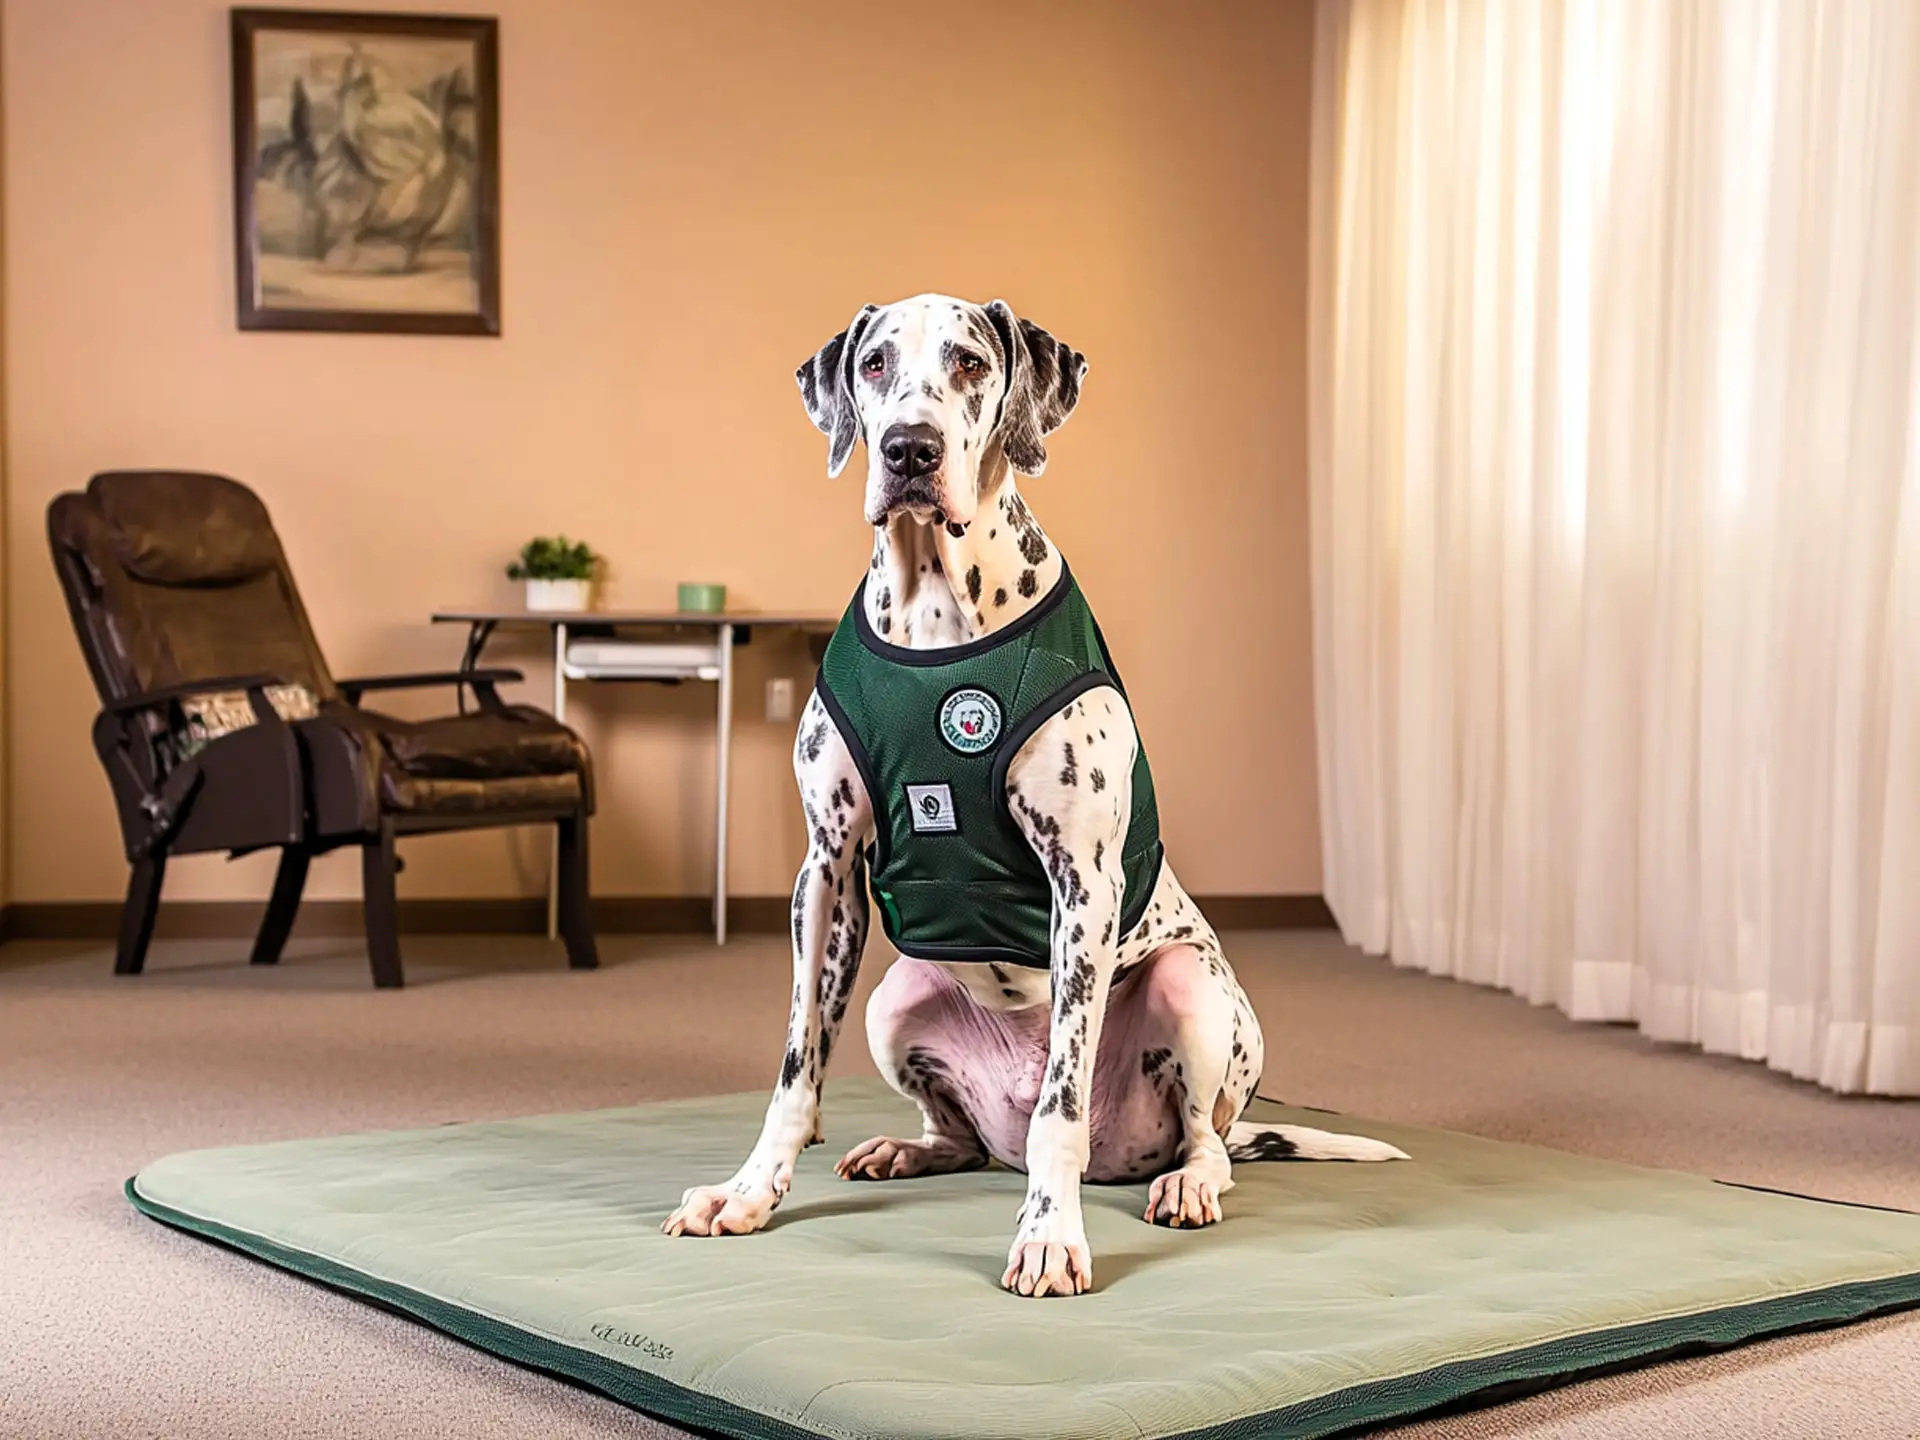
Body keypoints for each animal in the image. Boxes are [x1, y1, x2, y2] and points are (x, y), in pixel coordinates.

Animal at [660, 295, 1397, 1305]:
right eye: (875, 363)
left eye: (970, 362)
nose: (910, 450)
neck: (934, 605)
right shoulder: (826, 873)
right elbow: (795, 1073)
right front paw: (748, 1191)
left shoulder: (1081, 882)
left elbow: (1062, 1105)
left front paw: (1050, 1236)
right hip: (895, 997)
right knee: (965, 1139)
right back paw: (910, 1149)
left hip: (1192, 991)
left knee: (1202, 1140)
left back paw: (1183, 1185)